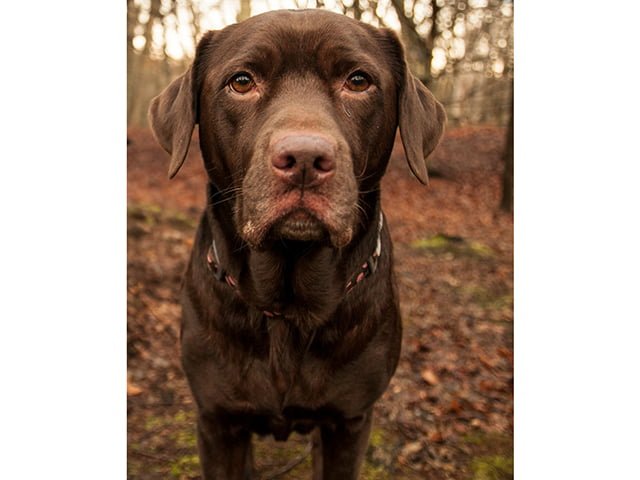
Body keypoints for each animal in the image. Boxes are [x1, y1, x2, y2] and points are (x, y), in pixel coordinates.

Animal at [148, 9, 445, 479]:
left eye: (358, 81)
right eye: (242, 81)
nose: (304, 158)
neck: (288, 307)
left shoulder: (349, 422)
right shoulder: (217, 421)